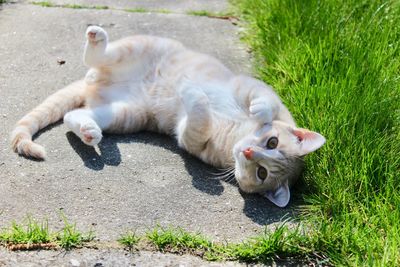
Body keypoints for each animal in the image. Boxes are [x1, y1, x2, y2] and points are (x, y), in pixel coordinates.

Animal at [10, 26, 326, 208]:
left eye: (262, 173)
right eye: (272, 142)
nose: (248, 151)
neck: (238, 132)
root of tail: (94, 83)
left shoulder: (190, 138)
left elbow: (198, 120)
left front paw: (191, 93)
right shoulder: (251, 86)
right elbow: (265, 101)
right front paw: (258, 109)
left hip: (124, 114)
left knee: (73, 115)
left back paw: (89, 131)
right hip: (142, 46)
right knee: (97, 57)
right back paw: (96, 38)